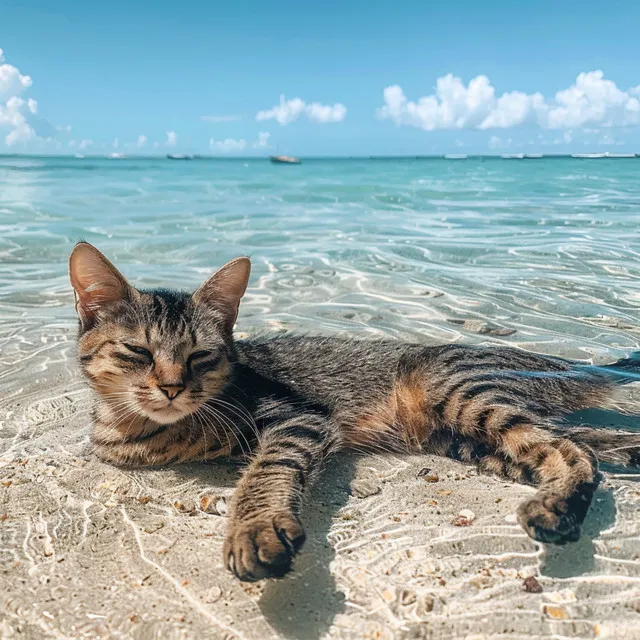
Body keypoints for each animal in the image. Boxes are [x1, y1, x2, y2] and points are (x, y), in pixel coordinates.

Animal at [70, 242, 640, 584]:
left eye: (201, 357)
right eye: (138, 352)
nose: (171, 387)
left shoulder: (299, 418)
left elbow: (267, 469)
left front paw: (255, 528)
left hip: (461, 394)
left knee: (573, 448)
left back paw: (557, 509)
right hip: (469, 440)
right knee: (591, 443)